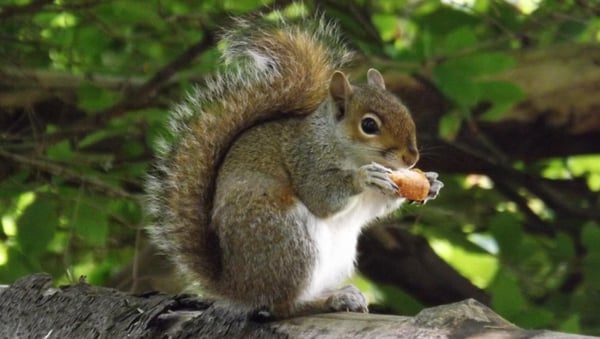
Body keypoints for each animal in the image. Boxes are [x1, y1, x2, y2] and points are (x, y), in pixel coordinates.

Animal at [148, 12, 442, 318]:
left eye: (405, 112)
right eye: (369, 125)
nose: (411, 158)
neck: (341, 146)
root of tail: (237, 285)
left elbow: (376, 205)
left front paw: (430, 183)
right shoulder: (306, 159)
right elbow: (321, 197)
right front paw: (363, 177)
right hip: (287, 238)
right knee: (282, 305)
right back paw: (329, 300)